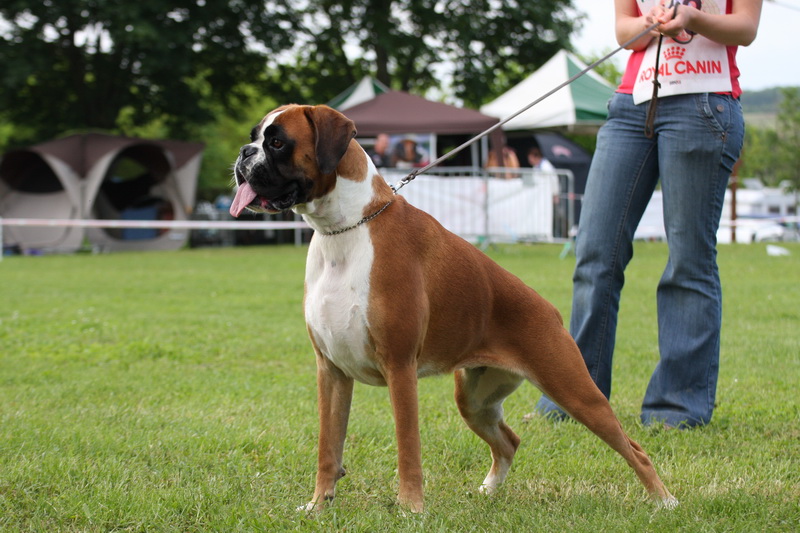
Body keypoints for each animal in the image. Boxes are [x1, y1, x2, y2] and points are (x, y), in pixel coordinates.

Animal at [228, 103, 680, 512]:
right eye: (256, 137)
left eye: (277, 142)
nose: (244, 153)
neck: (345, 230)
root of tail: (549, 310)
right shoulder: (331, 372)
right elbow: (328, 448)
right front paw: (319, 506)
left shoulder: (399, 367)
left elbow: (407, 448)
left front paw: (411, 509)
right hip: (475, 400)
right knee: (509, 441)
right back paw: (488, 491)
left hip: (575, 392)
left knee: (633, 448)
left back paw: (665, 501)